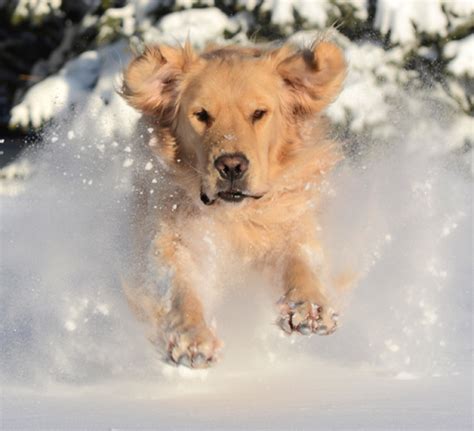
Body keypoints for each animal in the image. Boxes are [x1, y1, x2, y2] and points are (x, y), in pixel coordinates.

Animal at [120, 38, 346, 368]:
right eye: (201, 114)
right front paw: (191, 339)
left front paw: (309, 306)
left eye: (259, 113)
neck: (236, 216)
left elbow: (299, 260)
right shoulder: (175, 240)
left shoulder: (291, 221)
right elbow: (180, 288)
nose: (231, 166)